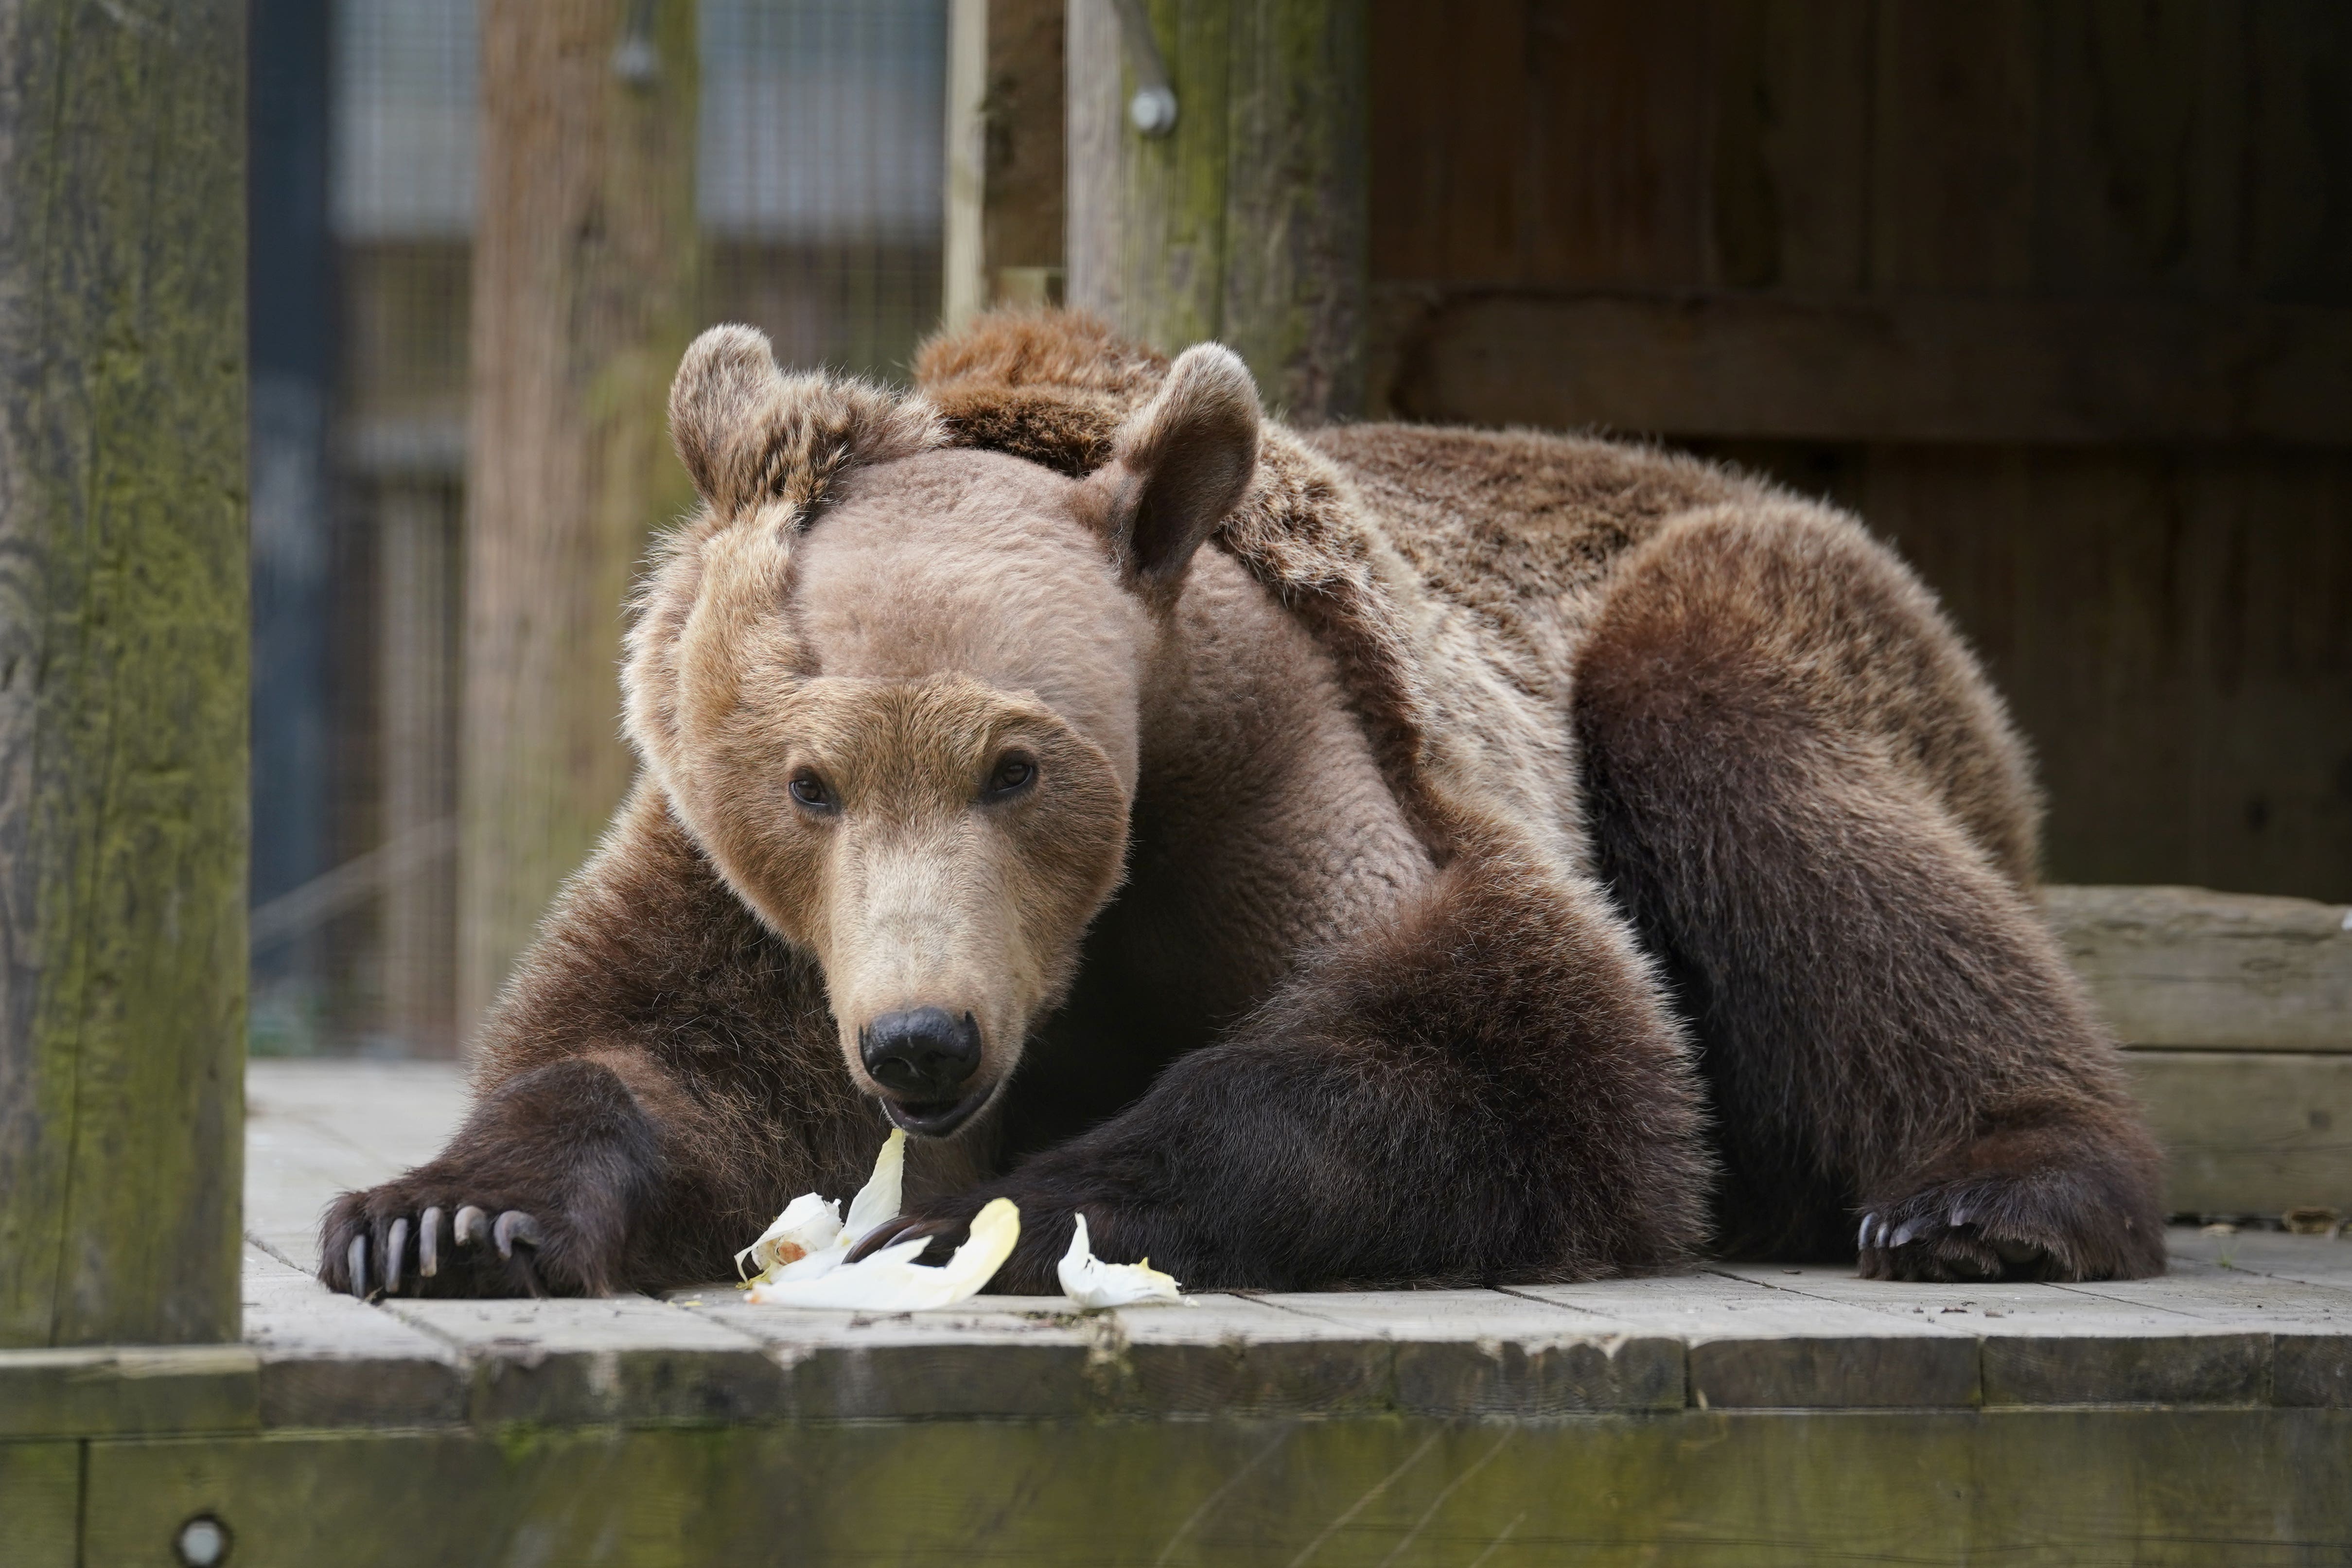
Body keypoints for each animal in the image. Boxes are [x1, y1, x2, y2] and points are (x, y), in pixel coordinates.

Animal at [320, 309, 2166, 1300]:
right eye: (808, 782)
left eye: (1017, 763)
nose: (921, 1044)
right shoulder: (754, 897)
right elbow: (653, 1052)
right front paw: (441, 1216)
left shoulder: (1310, 779)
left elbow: (1506, 1047)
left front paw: (985, 1218)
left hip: (1757, 618)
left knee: (1791, 809)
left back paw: (1984, 1198)